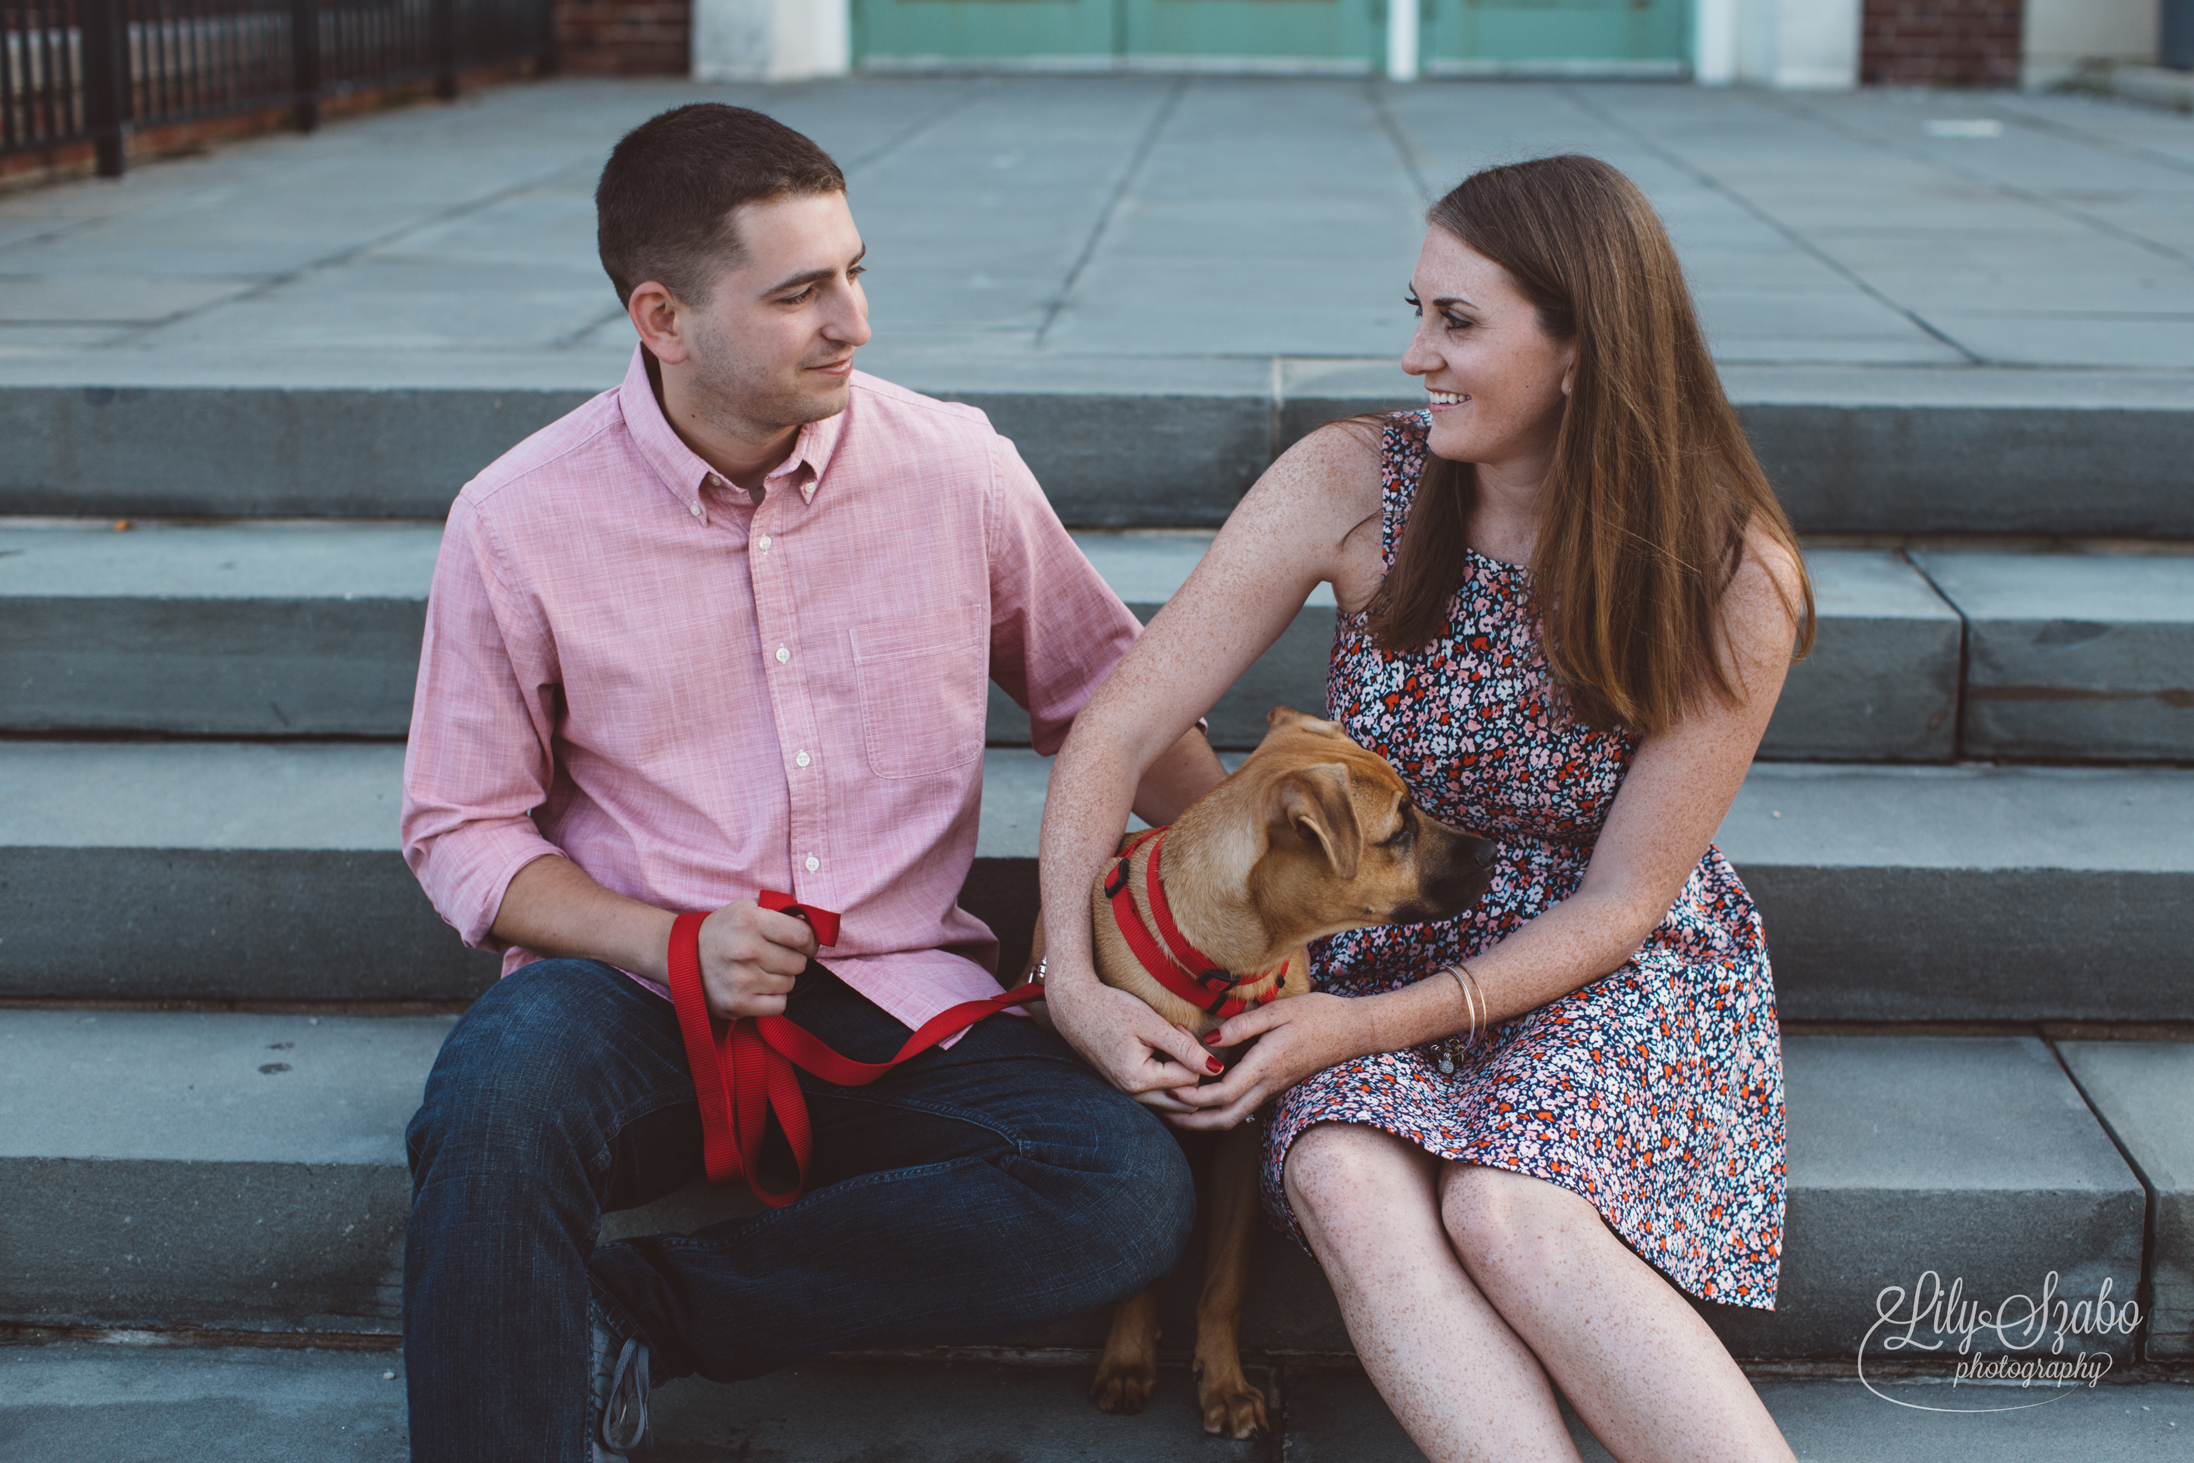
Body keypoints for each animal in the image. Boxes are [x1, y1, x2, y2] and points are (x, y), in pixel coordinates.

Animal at [1026, 710, 1491, 1438]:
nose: (1494, 852)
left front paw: (1224, 1383)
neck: (1227, 969)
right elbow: (1145, 1261)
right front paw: (1128, 1358)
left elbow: (1226, 1278)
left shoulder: (1244, 1125)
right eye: (1399, 829)